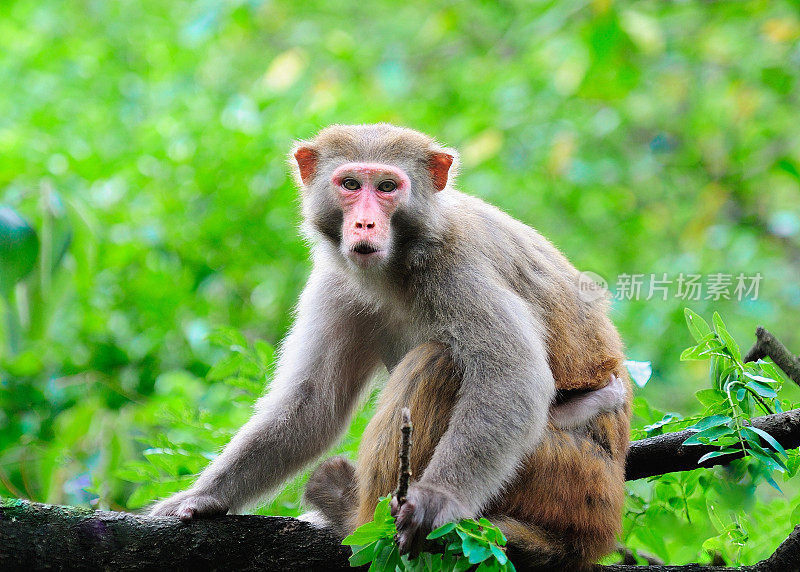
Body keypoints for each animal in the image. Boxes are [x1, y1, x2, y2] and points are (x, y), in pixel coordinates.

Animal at [147, 123, 628, 568]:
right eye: (350, 184)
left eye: (387, 187)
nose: (364, 223)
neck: (400, 262)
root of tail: (592, 536)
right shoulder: (337, 282)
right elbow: (312, 405)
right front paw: (203, 497)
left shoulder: (460, 267)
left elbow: (513, 376)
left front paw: (438, 497)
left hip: (560, 474)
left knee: (440, 360)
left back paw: (356, 517)